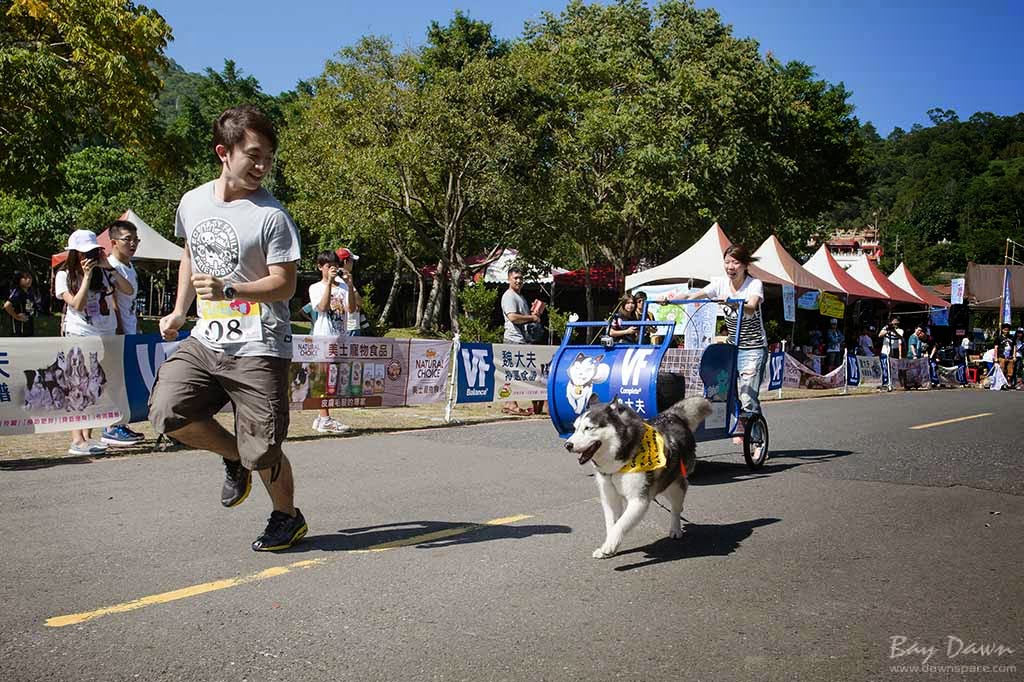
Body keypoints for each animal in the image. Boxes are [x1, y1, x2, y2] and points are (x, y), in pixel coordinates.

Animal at [561, 393, 712, 557]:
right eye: (575, 428)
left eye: (588, 428)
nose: (567, 445)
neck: (617, 465)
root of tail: (672, 415)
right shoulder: (609, 497)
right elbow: (611, 524)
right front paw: (607, 546)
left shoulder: (639, 500)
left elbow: (620, 524)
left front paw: (609, 546)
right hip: (661, 486)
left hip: (672, 486)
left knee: (676, 505)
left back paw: (676, 528)